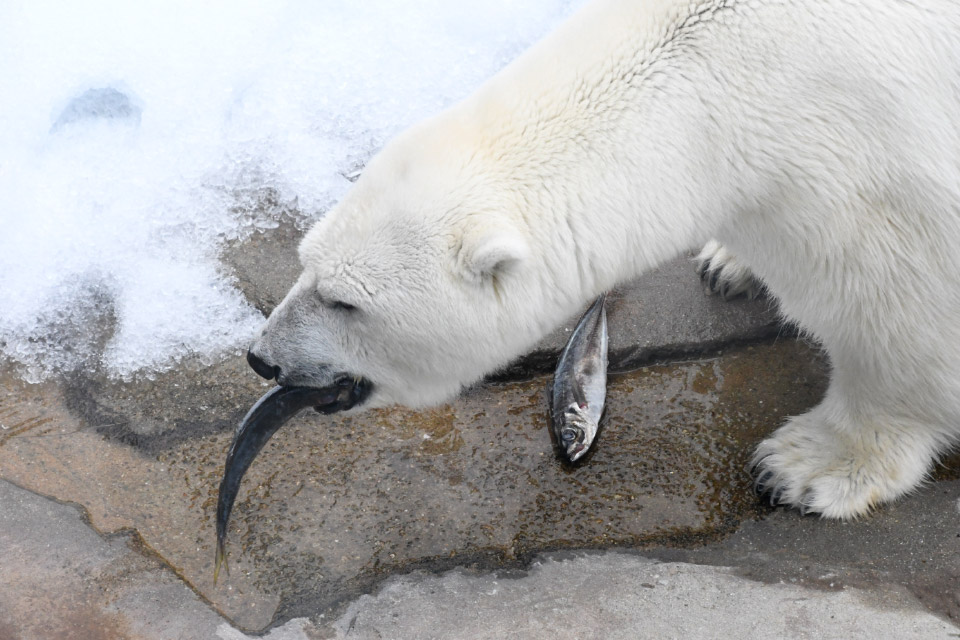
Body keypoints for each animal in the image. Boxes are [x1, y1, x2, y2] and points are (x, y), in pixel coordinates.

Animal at [248, 0, 960, 516]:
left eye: (345, 302)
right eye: (306, 263)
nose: (262, 358)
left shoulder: (875, 164)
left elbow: (899, 315)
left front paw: (804, 468)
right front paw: (728, 259)